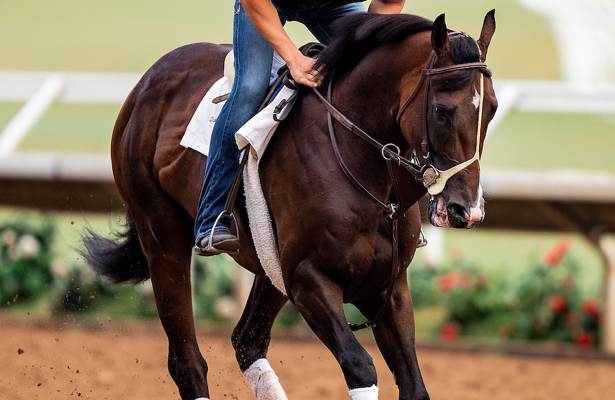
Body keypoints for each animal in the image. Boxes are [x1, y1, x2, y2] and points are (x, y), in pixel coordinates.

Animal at [80, 10, 496, 400]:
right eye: (441, 110)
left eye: (490, 108)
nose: (467, 210)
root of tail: (149, 81)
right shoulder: (308, 279)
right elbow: (360, 366)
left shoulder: (387, 288)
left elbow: (414, 383)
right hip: (162, 239)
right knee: (188, 362)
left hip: (267, 268)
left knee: (247, 341)